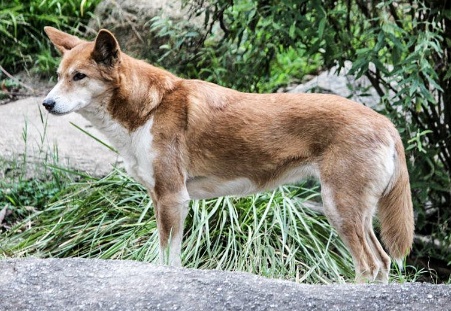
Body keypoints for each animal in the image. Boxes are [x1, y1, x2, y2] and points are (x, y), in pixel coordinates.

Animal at [43, 28, 416, 284]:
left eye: (79, 77)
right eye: (59, 77)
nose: (46, 103)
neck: (149, 108)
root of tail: (385, 122)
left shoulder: (172, 197)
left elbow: (168, 259)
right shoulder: (159, 198)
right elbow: (166, 254)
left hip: (339, 208)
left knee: (370, 264)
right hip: (356, 213)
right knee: (383, 262)